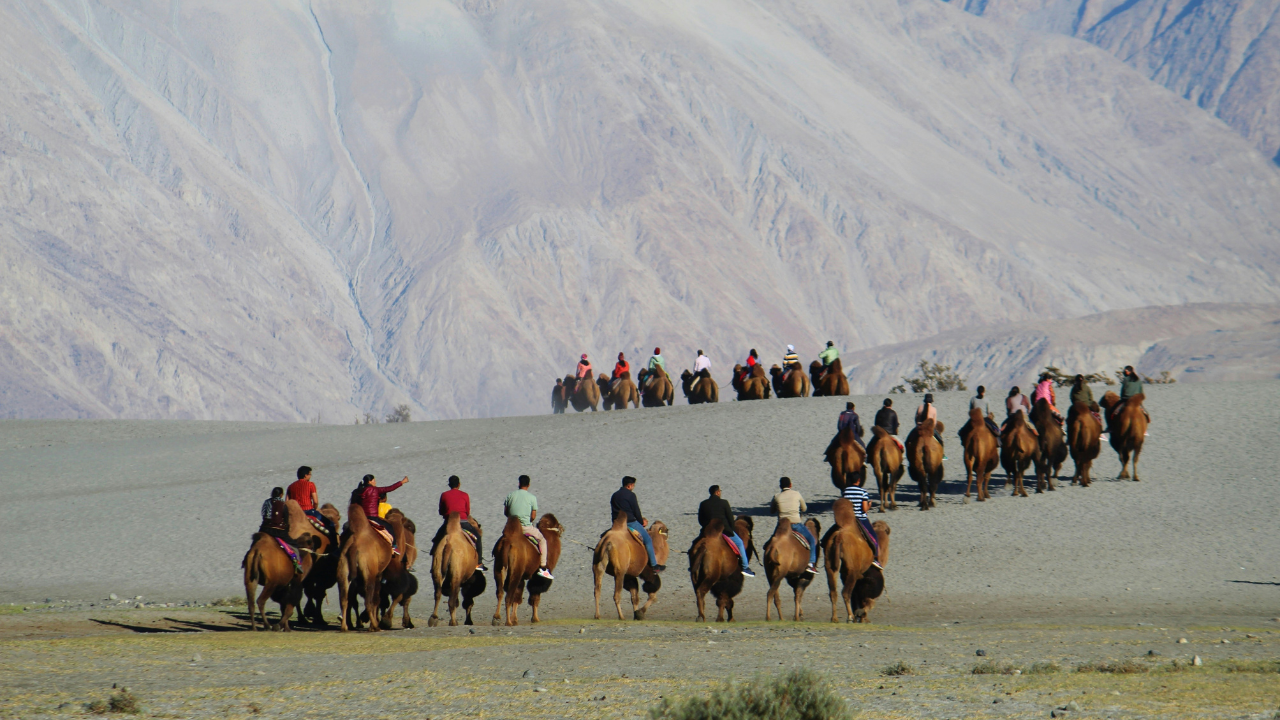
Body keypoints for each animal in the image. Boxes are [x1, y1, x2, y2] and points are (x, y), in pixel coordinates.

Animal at [240, 499, 330, 627]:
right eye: (310, 542)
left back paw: (255, 627)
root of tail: (257, 552)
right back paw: (268, 625)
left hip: (251, 580)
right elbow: (292, 601)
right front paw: (282, 626)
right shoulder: (297, 581)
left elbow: (285, 602)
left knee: (251, 603)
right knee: (260, 601)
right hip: (271, 582)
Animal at [335, 502, 404, 630]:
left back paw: (345, 627)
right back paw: (376, 627)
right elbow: (377, 599)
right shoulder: (379, 574)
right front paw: (374, 624)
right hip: (368, 572)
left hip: (343, 569)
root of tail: (354, 547)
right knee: (368, 600)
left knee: (344, 599)